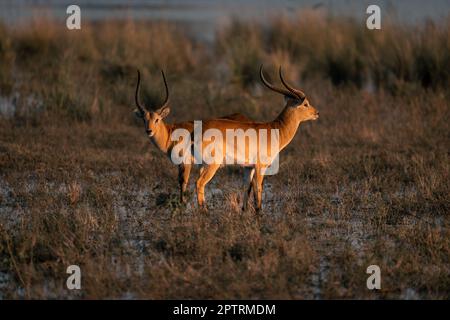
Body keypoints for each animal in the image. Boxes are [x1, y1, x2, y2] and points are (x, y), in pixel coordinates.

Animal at [133, 70, 250, 202]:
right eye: (144, 119)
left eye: (157, 119)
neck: (171, 134)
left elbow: (183, 183)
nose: (149, 131)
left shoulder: (186, 162)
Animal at [192, 65, 318, 211]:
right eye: (305, 104)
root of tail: (196, 131)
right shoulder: (260, 166)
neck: (275, 129)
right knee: (199, 183)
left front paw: (244, 211)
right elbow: (258, 191)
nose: (316, 113)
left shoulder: (249, 168)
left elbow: (247, 190)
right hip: (212, 164)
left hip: (202, 165)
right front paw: (259, 212)